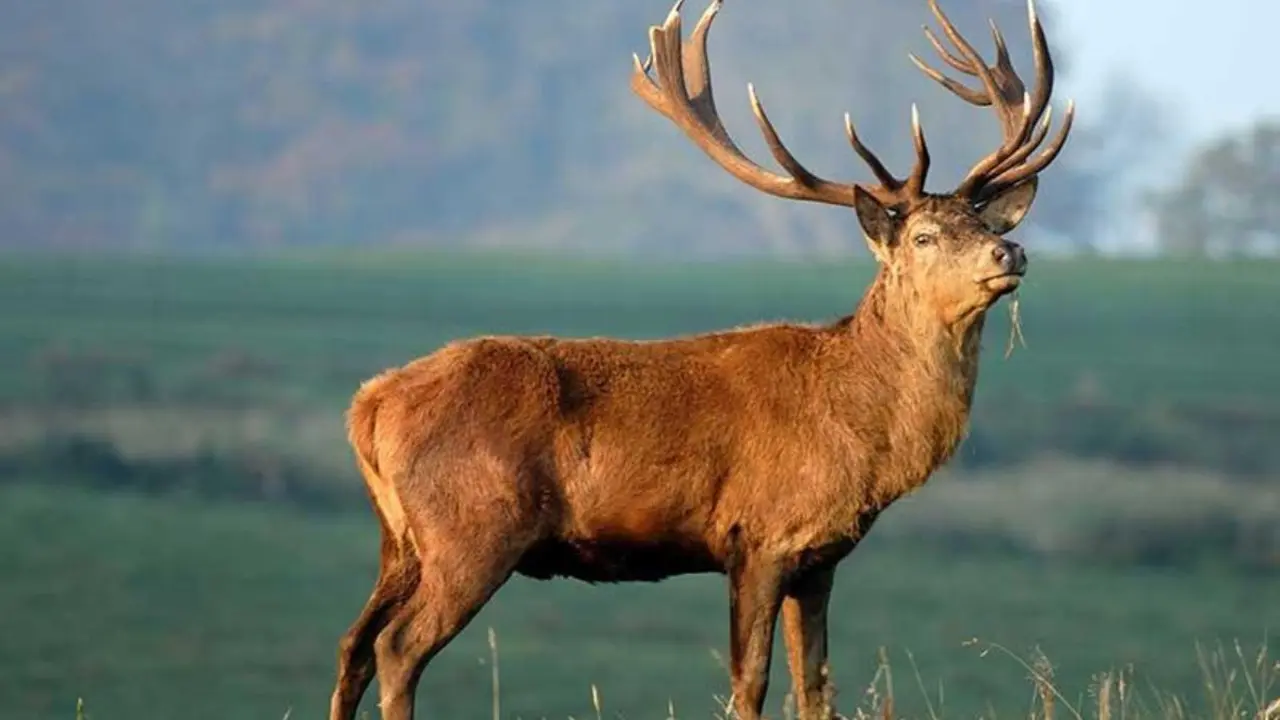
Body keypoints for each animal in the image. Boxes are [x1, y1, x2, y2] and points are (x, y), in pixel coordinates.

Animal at [327, 1, 1073, 718]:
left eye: (987, 222)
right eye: (923, 236)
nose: (1011, 252)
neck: (861, 431)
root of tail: (369, 405)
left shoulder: (821, 559)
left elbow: (817, 687)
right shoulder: (760, 536)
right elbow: (752, 683)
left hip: (402, 539)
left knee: (354, 644)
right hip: (473, 526)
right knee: (398, 648)